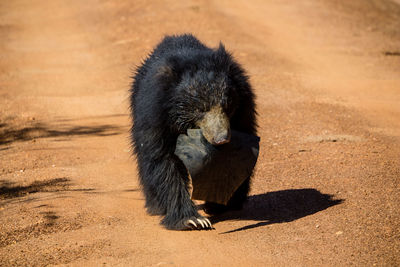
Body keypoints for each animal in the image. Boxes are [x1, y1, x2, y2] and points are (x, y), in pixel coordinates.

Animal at [130, 33, 258, 230]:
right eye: (200, 109)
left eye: (227, 106)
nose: (221, 139)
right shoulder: (155, 112)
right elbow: (163, 160)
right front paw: (192, 220)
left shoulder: (244, 108)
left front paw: (220, 204)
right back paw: (155, 207)